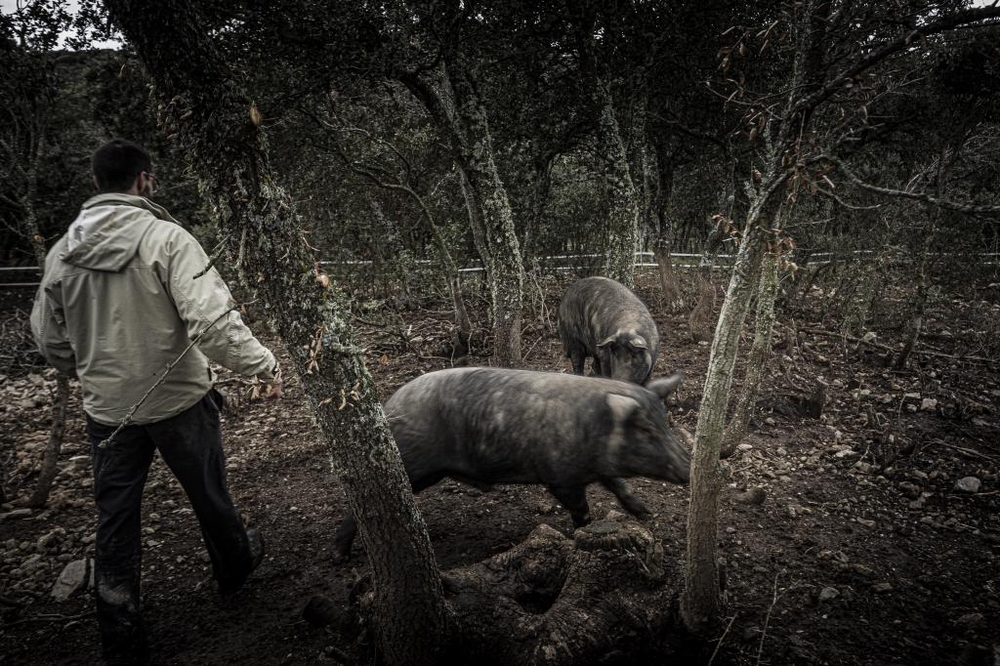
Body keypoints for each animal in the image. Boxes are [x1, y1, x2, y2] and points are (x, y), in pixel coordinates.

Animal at [334, 366, 688, 556]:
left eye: (665, 422)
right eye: (646, 430)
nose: (688, 467)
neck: (590, 426)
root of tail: (389, 406)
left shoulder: (595, 469)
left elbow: (618, 484)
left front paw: (645, 512)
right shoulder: (560, 477)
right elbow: (580, 508)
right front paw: (582, 532)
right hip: (414, 464)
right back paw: (341, 556)